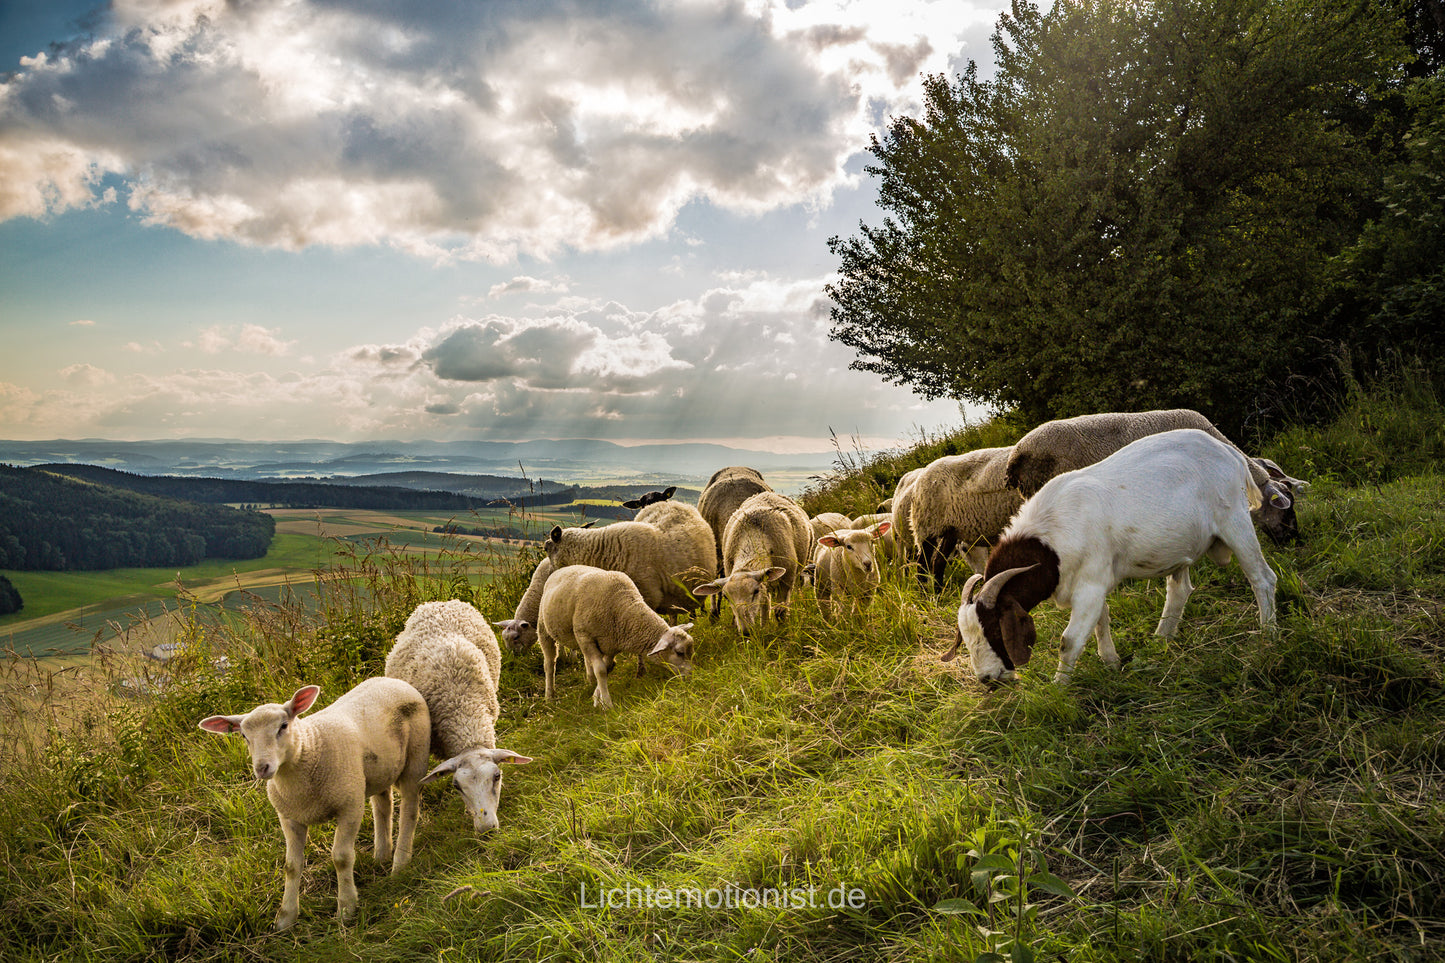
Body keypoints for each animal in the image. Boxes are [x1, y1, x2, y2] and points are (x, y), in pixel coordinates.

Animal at [198, 678, 430, 930]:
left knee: (409, 809)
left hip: (415, 758)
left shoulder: (349, 805)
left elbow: (341, 857)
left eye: (283, 726)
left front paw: (346, 908)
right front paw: (286, 917)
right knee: (382, 805)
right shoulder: (289, 816)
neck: (310, 746)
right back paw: (381, 855)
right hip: (378, 770)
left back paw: (400, 862)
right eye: (243, 736)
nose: (262, 768)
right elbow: (291, 866)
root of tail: (392, 680)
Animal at [536, 564, 696, 709]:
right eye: (679, 653)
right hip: (544, 629)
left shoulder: (611, 644)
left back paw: (590, 681)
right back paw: (549, 696)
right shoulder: (586, 637)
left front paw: (597, 698)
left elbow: (606, 668)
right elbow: (601, 670)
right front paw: (607, 704)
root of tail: (561, 569)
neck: (623, 606)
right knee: (549, 664)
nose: (692, 675)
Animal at [692, 491, 813, 634]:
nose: (746, 632)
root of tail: (767, 493)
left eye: (755, 591)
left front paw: (784, 629)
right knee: (765, 600)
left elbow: (780, 611)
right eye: (727, 597)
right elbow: (763, 604)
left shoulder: (786, 580)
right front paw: (763, 628)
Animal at [909, 447, 1023, 590]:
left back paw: (939, 592)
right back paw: (926, 594)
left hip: (950, 530)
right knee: (922, 565)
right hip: (927, 527)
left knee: (938, 561)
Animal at [943, 429, 1278, 684]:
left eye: (994, 629)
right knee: (1180, 589)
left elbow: (1069, 641)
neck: (1051, 536)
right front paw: (1112, 663)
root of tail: (1229, 452)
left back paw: (1268, 634)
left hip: (1234, 520)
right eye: (966, 637)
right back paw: (1161, 639)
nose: (987, 679)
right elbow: (1100, 621)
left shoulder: (1090, 585)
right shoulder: (1090, 584)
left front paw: (1058, 688)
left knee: (1263, 577)